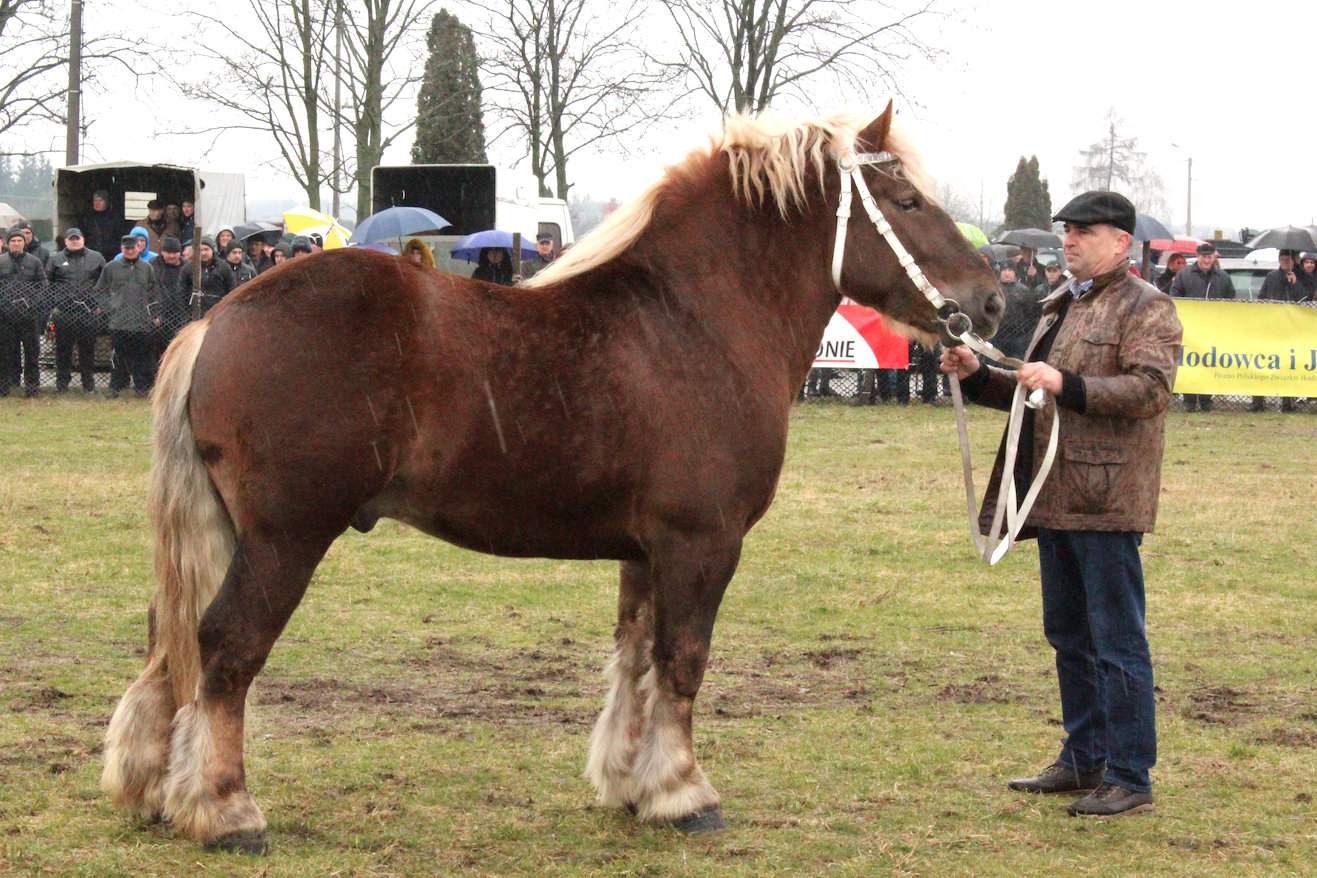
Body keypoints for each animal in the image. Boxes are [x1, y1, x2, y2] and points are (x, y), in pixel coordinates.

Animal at [102, 103, 1000, 852]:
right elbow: (683, 660)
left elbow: (635, 659)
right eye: (906, 202)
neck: (695, 321)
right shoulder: (701, 542)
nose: (988, 303)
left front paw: (632, 786)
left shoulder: (645, 549)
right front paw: (684, 792)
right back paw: (227, 811)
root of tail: (216, 320)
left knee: (168, 640)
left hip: (225, 531)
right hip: (284, 538)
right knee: (226, 646)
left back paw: (155, 791)